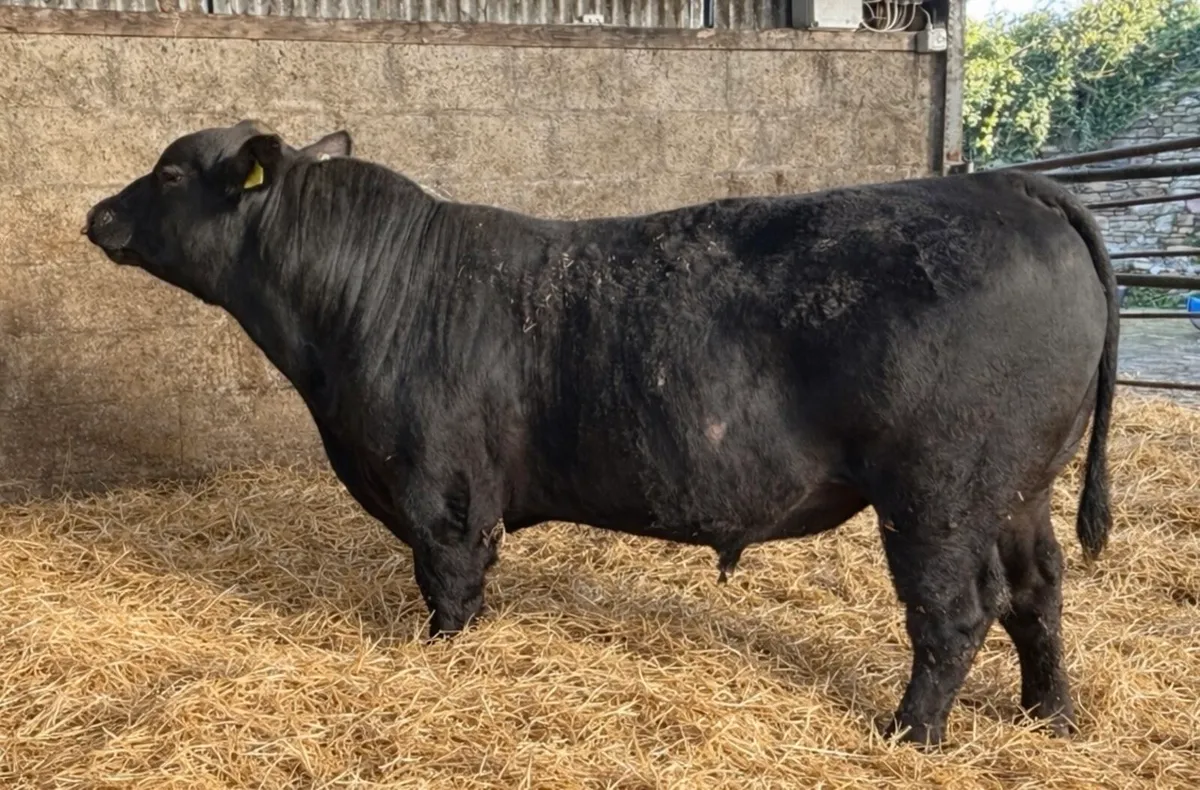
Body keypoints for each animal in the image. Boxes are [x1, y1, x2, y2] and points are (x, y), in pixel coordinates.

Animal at [83, 119, 1118, 747]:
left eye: (169, 171)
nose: (96, 213)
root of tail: (1012, 190)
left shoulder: (442, 489)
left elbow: (449, 589)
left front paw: (444, 661)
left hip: (939, 492)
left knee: (957, 610)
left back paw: (909, 732)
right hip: (1017, 489)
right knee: (1039, 591)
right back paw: (1051, 718)